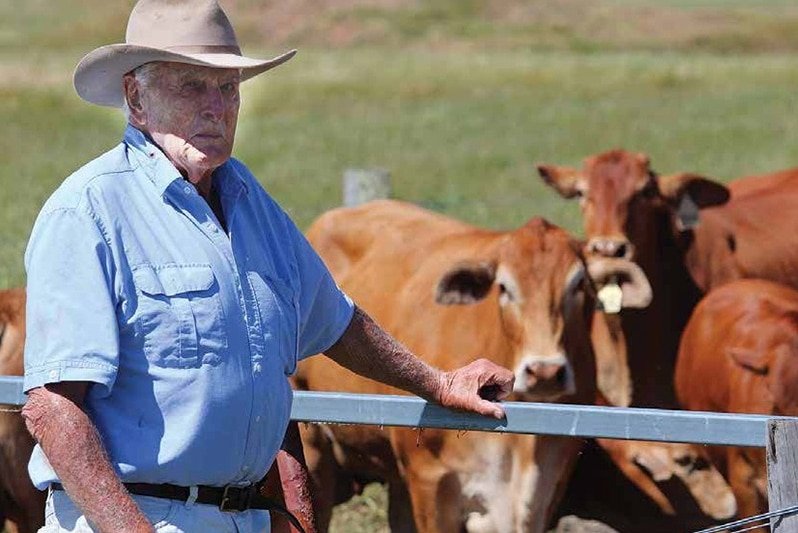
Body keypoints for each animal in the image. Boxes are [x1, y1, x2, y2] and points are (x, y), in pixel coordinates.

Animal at [290, 198, 652, 532]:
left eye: (578, 285)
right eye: (504, 287)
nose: (545, 372)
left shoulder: (544, 490)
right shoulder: (431, 482)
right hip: (316, 454)